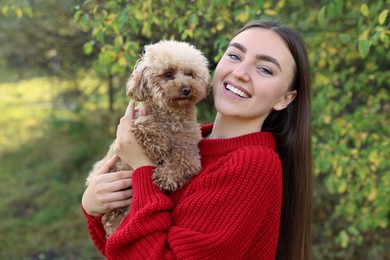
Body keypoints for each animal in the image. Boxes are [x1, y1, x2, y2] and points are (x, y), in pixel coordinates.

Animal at [86, 40, 210, 236]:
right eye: (168, 74)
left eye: (190, 73)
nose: (186, 89)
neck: (171, 118)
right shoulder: (135, 120)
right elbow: (145, 125)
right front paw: (160, 145)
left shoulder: (189, 150)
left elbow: (184, 163)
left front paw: (165, 176)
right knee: (110, 217)